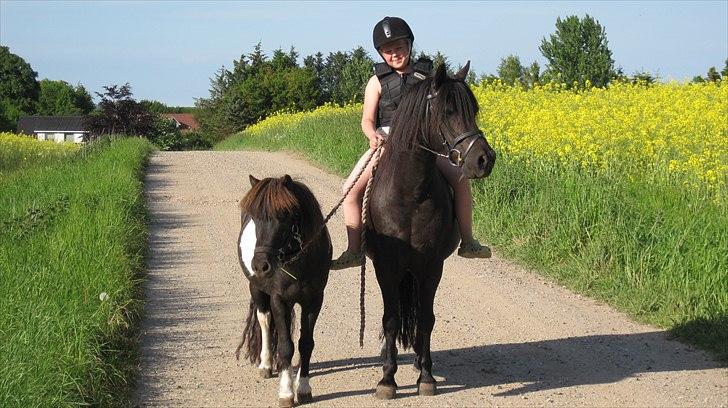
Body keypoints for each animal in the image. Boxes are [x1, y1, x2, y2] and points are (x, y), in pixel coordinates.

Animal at [236, 175, 332, 408]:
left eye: (285, 216)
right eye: (255, 217)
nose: (260, 266)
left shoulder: (314, 301)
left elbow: (306, 344)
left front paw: (304, 387)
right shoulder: (279, 300)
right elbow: (286, 346)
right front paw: (287, 392)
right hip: (257, 289)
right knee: (264, 319)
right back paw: (266, 364)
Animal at [366, 63, 498, 398]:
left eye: (474, 109)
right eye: (448, 111)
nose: (485, 160)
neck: (410, 192)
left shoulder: (430, 266)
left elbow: (426, 318)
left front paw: (426, 376)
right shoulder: (386, 266)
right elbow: (390, 319)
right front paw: (387, 379)